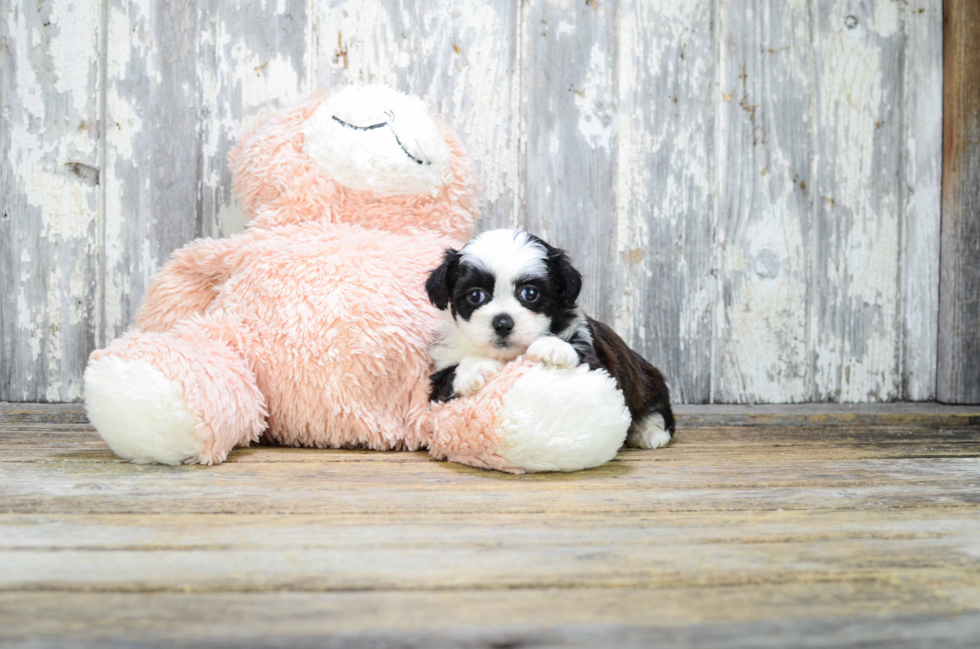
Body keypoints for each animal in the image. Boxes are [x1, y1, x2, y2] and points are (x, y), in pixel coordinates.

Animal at [424, 229, 676, 450]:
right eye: (475, 295)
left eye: (530, 293)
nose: (503, 323)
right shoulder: (440, 375)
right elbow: (449, 377)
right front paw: (474, 368)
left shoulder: (597, 360)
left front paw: (551, 346)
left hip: (650, 381)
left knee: (658, 410)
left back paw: (649, 432)